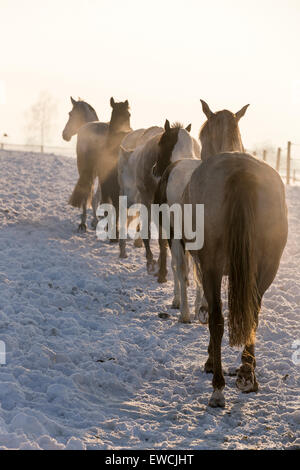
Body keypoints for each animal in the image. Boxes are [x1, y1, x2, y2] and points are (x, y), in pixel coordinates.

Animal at [175, 100, 288, 408]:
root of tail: (241, 172)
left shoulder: (205, 266)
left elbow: (212, 313)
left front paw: (210, 362)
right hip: (267, 267)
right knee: (253, 314)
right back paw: (248, 376)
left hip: (213, 266)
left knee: (217, 319)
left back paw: (218, 387)